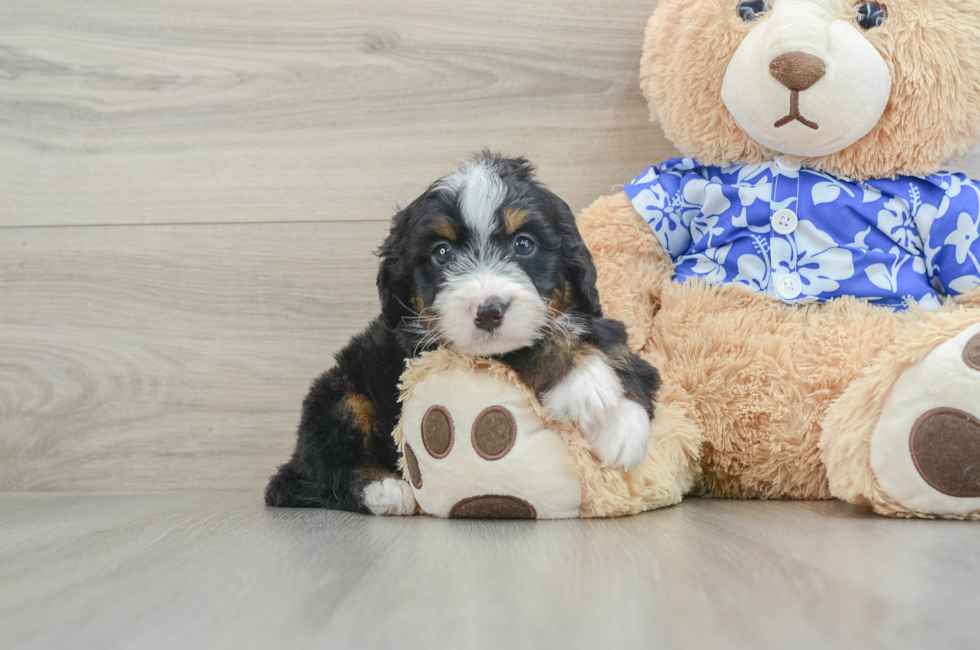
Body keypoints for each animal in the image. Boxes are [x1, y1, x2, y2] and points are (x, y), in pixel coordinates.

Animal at [264, 152, 664, 512]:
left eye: (524, 244)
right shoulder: (427, 344)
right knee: (322, 469)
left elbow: (612, 343)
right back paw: (385, 489)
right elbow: (521, 346)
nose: (488, 312)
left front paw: (624, 424)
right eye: (442, 253)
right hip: (337, 396)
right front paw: (584, 382)